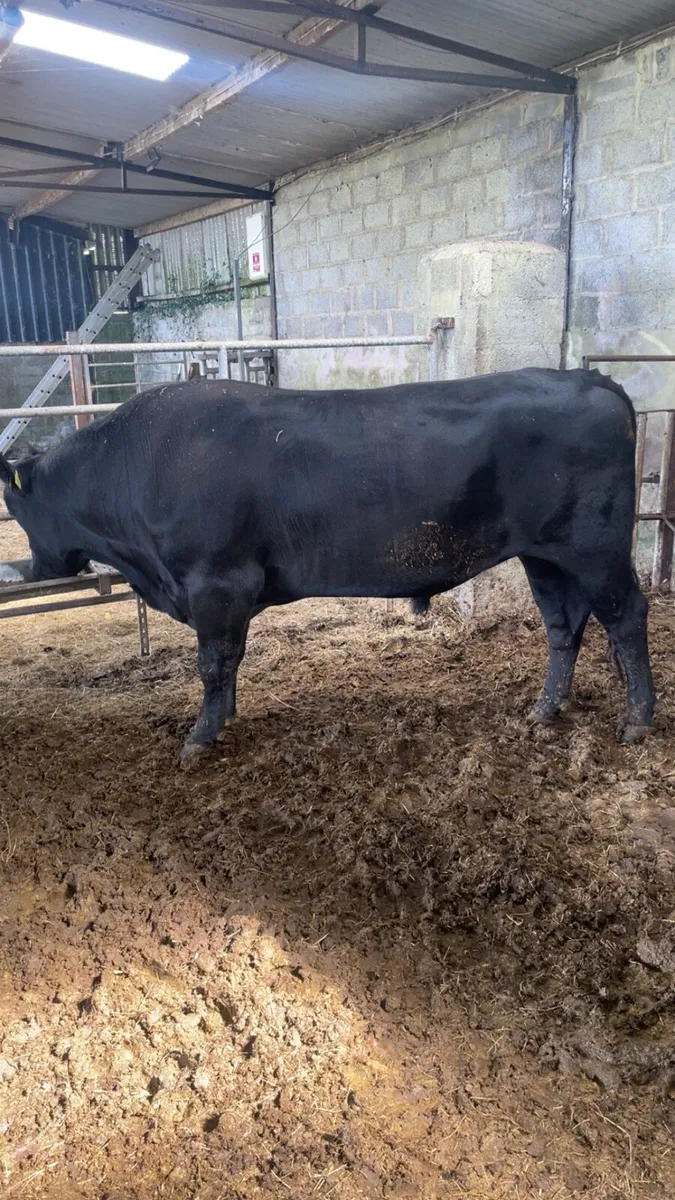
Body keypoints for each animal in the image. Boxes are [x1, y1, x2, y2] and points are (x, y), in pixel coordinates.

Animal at [0, 369, 655, 761]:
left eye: (15, 504)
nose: (28, 569)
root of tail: (587, 376)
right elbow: (230, 661)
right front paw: (226, 716)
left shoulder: (216, 582)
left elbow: (212, 663)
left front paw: (200, 738)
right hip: (545, 556)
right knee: (564, 625)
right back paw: (544, 710)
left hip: (595, 549)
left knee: (626, 617)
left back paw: (638, 721)